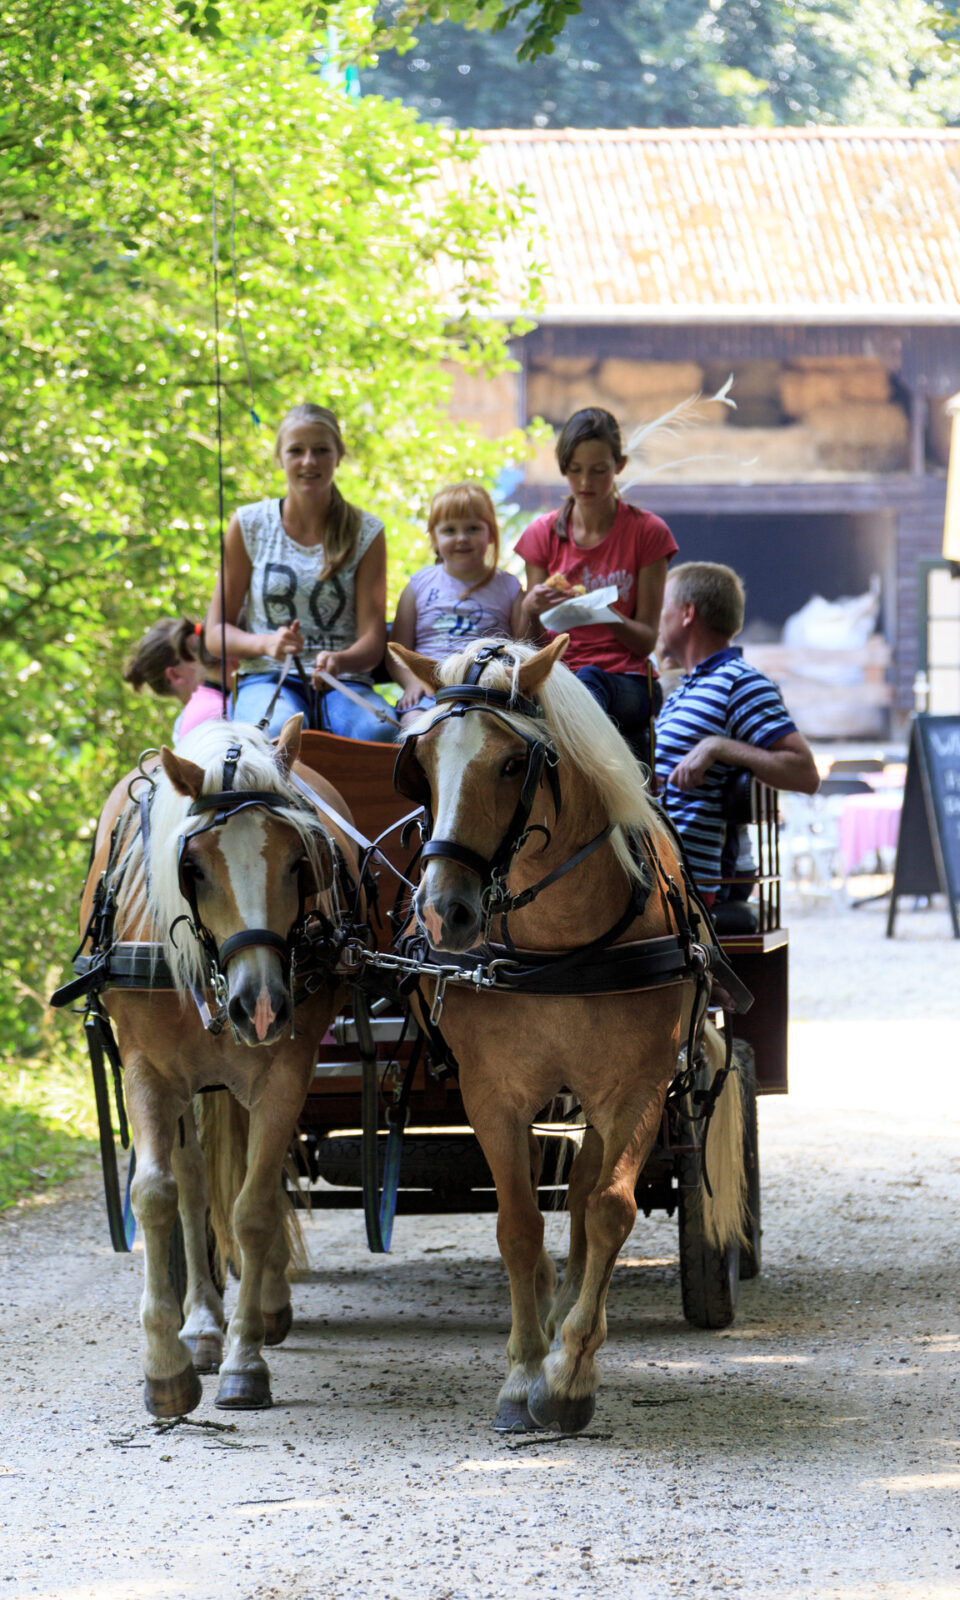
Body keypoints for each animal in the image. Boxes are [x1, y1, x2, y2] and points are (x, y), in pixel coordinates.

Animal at [76, 723, 358, 1414]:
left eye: (299, 863)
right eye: (193, 868)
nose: (260, 1006)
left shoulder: (287, 1069)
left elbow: (254, 1207)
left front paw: (245, 1360)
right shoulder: (148, 1070)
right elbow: (158, 1195)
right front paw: (167, 1368)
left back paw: (265, 1307)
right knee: (194, 1184)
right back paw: (202, 1326)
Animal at [392, 636, 748, 1440]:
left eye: (510, 764)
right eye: (419, 761)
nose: (445, 912)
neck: (559, 947)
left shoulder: (637, 1086)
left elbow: (609, 1209)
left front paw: (568, 1375)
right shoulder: (492, 1093)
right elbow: (518, 1225)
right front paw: (523, 1371)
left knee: (589, 1196)